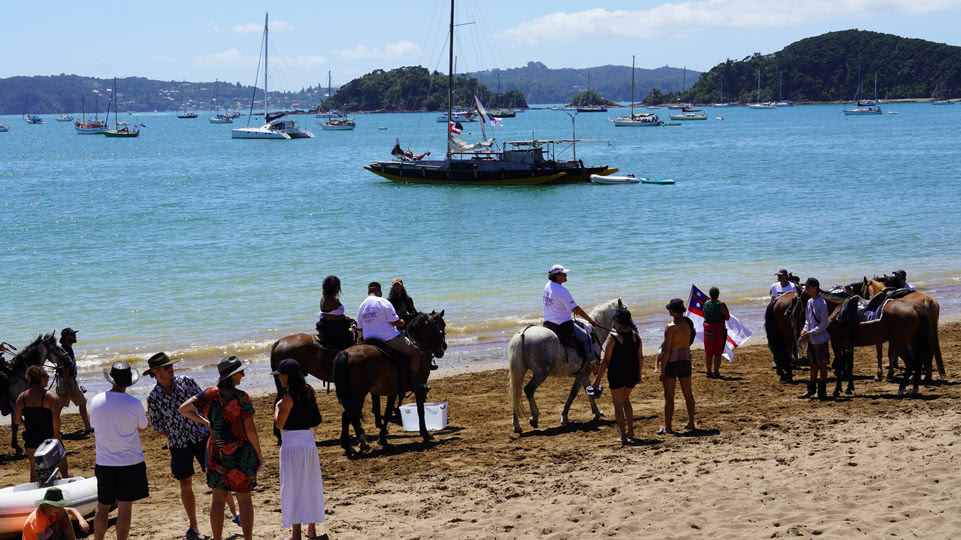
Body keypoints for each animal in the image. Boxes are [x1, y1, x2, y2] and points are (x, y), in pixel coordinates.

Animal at [330, 310, 446, 458]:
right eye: (439, 326)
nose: (442, 348)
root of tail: (345, 353)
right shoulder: (420, 390)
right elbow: (420, 410)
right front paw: (425, 434)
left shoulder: (393, 391)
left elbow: (388, 412)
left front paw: (382, 438)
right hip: (358, 394)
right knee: (349, 415)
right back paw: (356, 444)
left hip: (354, 394)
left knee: (349, 415)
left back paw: (353, 445)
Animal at [510, 300, 624, 434]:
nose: (633, 328)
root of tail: (523, 333)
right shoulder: (582, 375)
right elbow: (573, 393)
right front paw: (564, 417)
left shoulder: (584, 374)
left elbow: (588, 391)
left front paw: (597, 412)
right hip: (541, 373)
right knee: (528, 390)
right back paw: (534, 418)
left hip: (520, 372)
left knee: (515, 393)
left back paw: (517, 425)